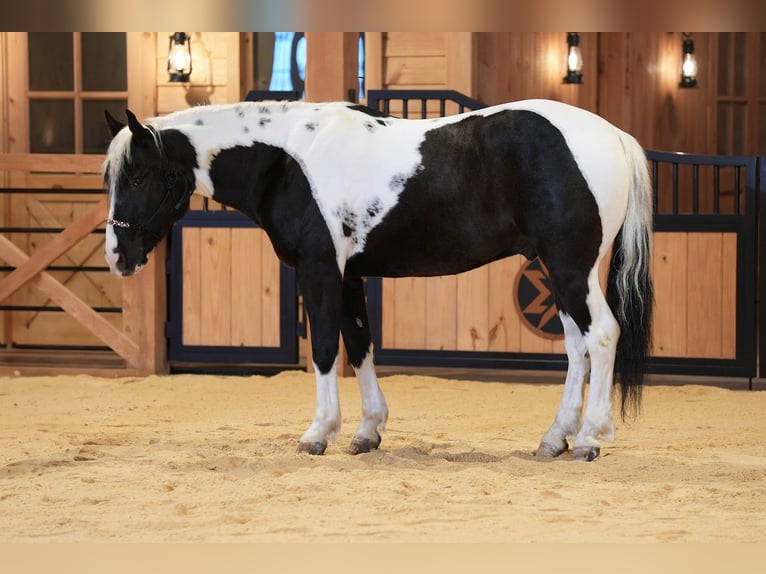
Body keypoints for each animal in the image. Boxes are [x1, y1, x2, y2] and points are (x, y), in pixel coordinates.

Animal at [102, 98, 653, 462]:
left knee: (602, 336)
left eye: (136, 176)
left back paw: (589, 439)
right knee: (578, 348)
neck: (287, 159)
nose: (117, 256)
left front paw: (318, 433)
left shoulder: (320, 270)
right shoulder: (349, 277)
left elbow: (326, 349)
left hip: (570, 267)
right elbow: (360, 344)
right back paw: (555, 438)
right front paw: (368, 432)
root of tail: (614, 135)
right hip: (563, 273)